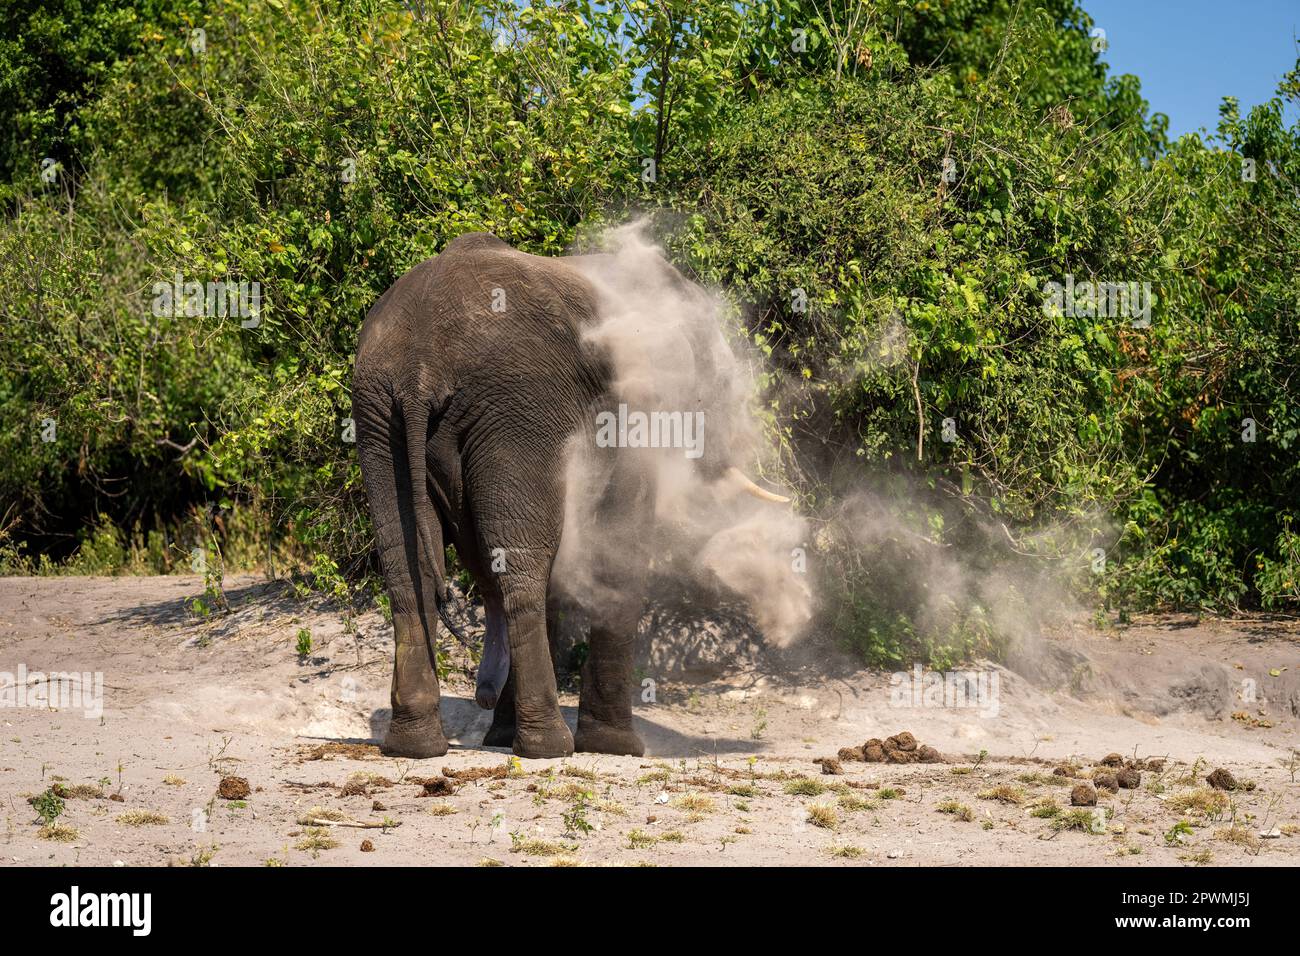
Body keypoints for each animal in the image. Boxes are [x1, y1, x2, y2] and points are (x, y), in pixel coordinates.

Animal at [352, 231, 788, 759]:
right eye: (721, 384)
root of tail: (421, 369)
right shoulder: (634, 409)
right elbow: (617, 543)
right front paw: (618, 747)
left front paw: (503, 736)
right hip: (513, 410)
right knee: (521, 565)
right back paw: (548, 746)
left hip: (378, 415)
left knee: (404, 564)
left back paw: (415, 747)